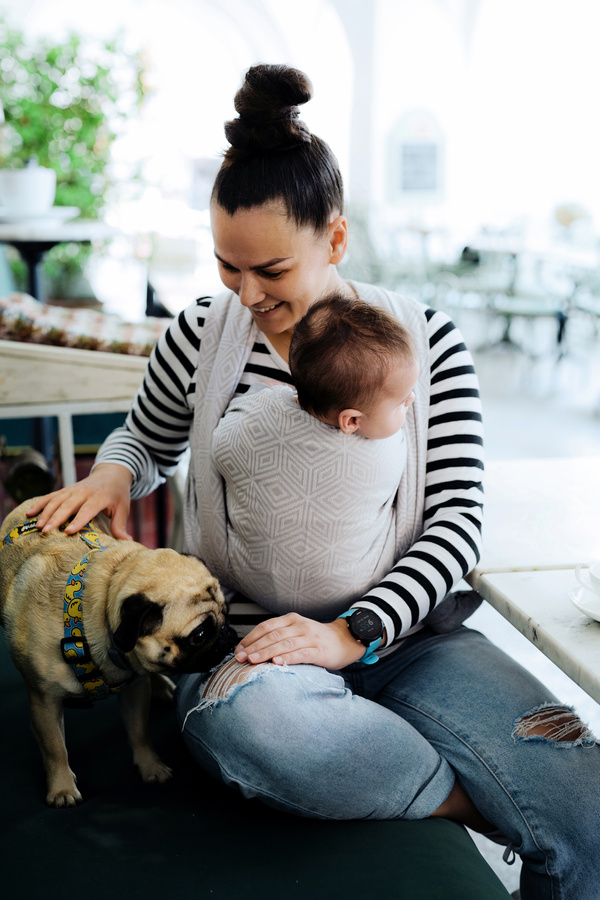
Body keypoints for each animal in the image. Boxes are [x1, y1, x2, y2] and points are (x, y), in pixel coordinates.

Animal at [0, 500, 237, 808]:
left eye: (227, 613)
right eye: (199, 635)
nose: (227, 634)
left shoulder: (135, 687)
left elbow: (139, 732)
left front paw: (151, 767)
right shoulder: (44, 701)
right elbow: (55, 750)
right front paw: (62, 788)